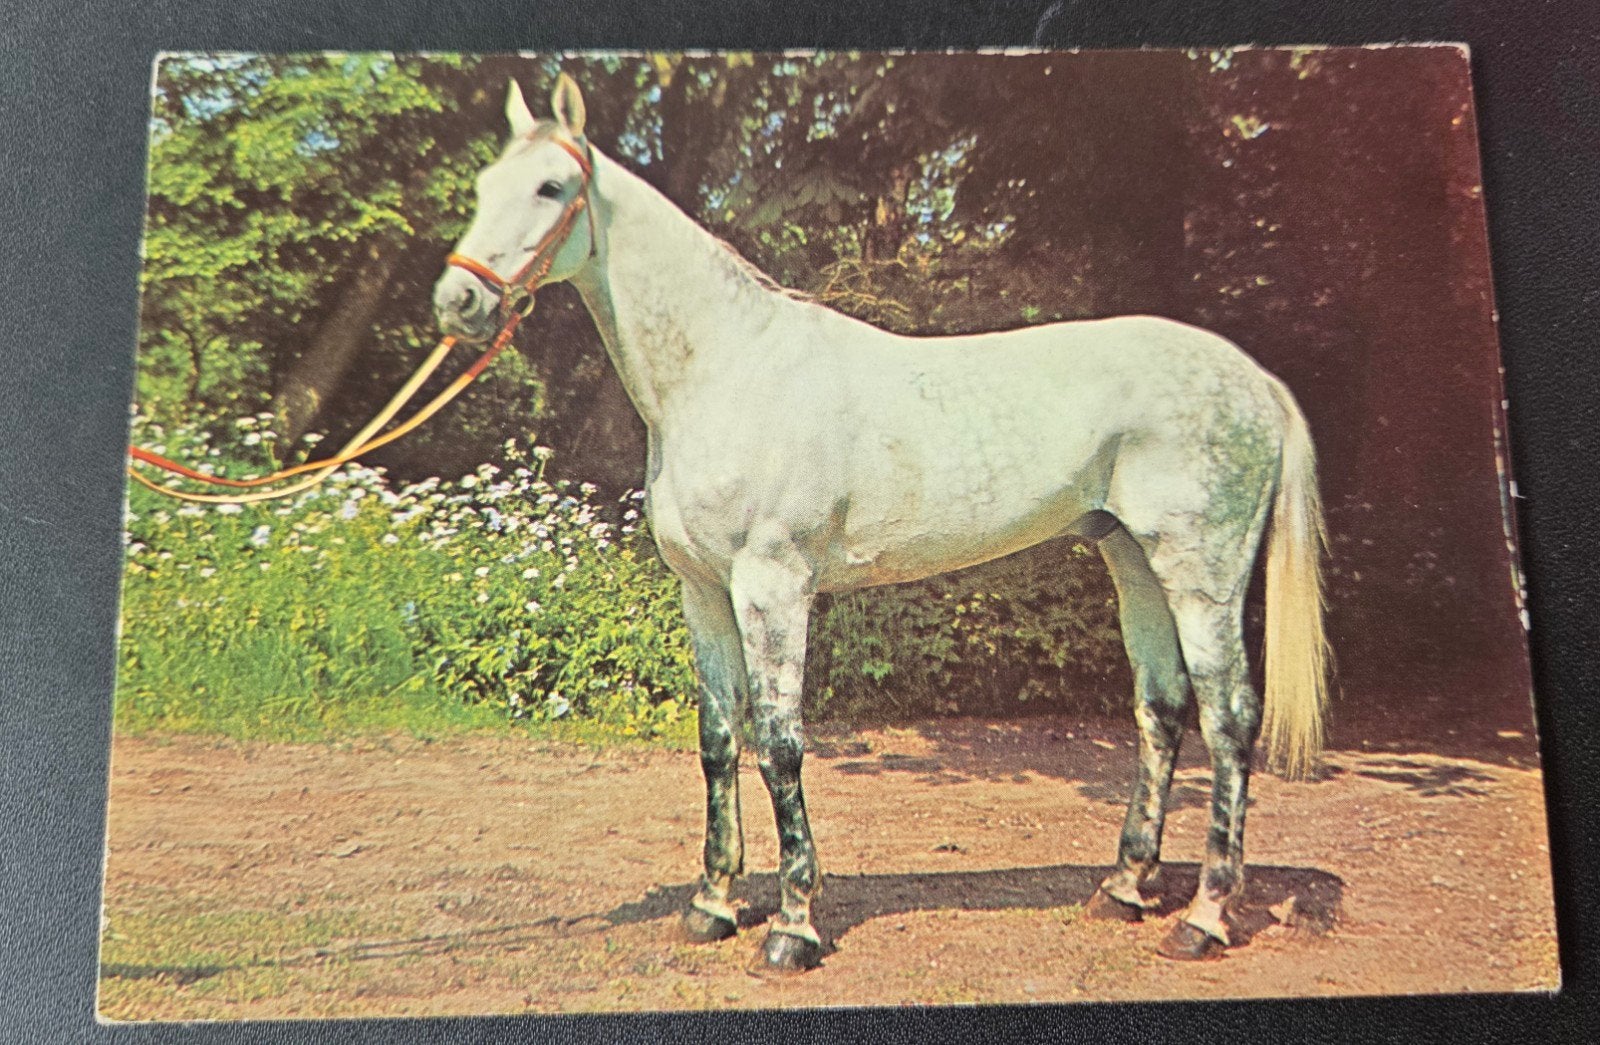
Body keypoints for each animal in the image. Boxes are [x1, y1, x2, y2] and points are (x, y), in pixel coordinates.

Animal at [432, 74, 1330, 973]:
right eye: (483, 186)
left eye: (551, 187)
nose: (458, 300)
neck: (727, 370)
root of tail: (1255, 380)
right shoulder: (703, 592)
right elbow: (720, 738)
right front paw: (714, 904)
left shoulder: (773, 586)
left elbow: (781, 741)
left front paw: (793, 925)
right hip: (1134, 561)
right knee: (1162, 706)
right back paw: (1125, 888)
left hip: (1204, 573)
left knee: (1229, 717)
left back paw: (1205, 916)